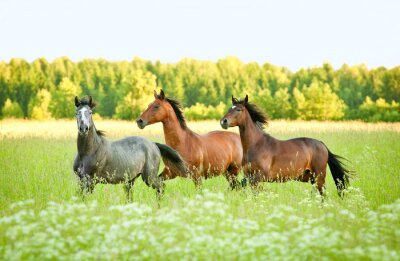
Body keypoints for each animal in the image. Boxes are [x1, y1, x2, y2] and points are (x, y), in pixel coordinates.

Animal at [219, 94, 354, 195]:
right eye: (229, 109)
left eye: (238, 109)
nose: (223, 121)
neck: (257, 145)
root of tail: (322, 145)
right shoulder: (249, 176)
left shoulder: (258, 177)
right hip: (311, 178)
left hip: (319, 176)